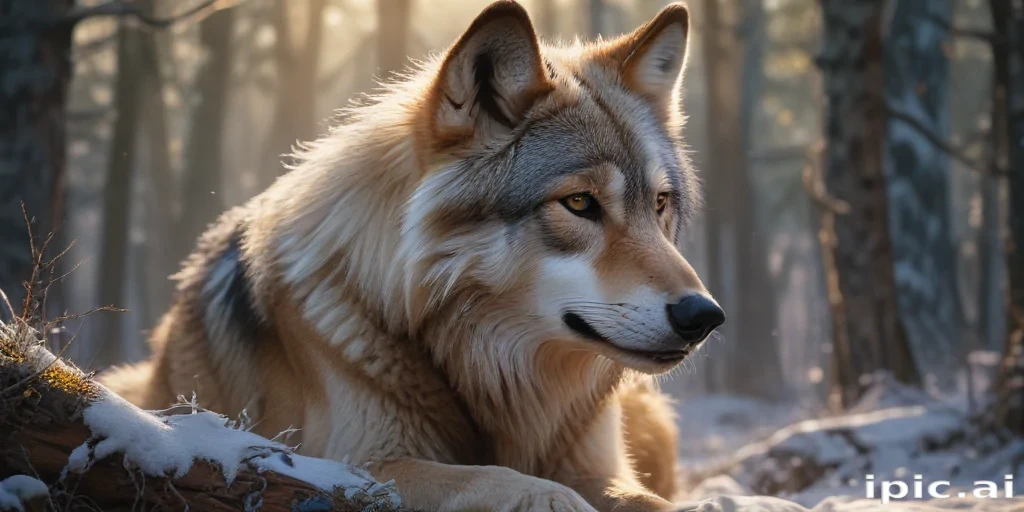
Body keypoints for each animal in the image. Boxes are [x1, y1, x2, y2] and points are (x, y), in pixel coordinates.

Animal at [101, 2, 724, 510]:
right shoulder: (354, 461)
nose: (705, 316)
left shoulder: (599, 465)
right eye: (579, 203)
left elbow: (652, 499)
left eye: (660, 203)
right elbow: (505, 481)